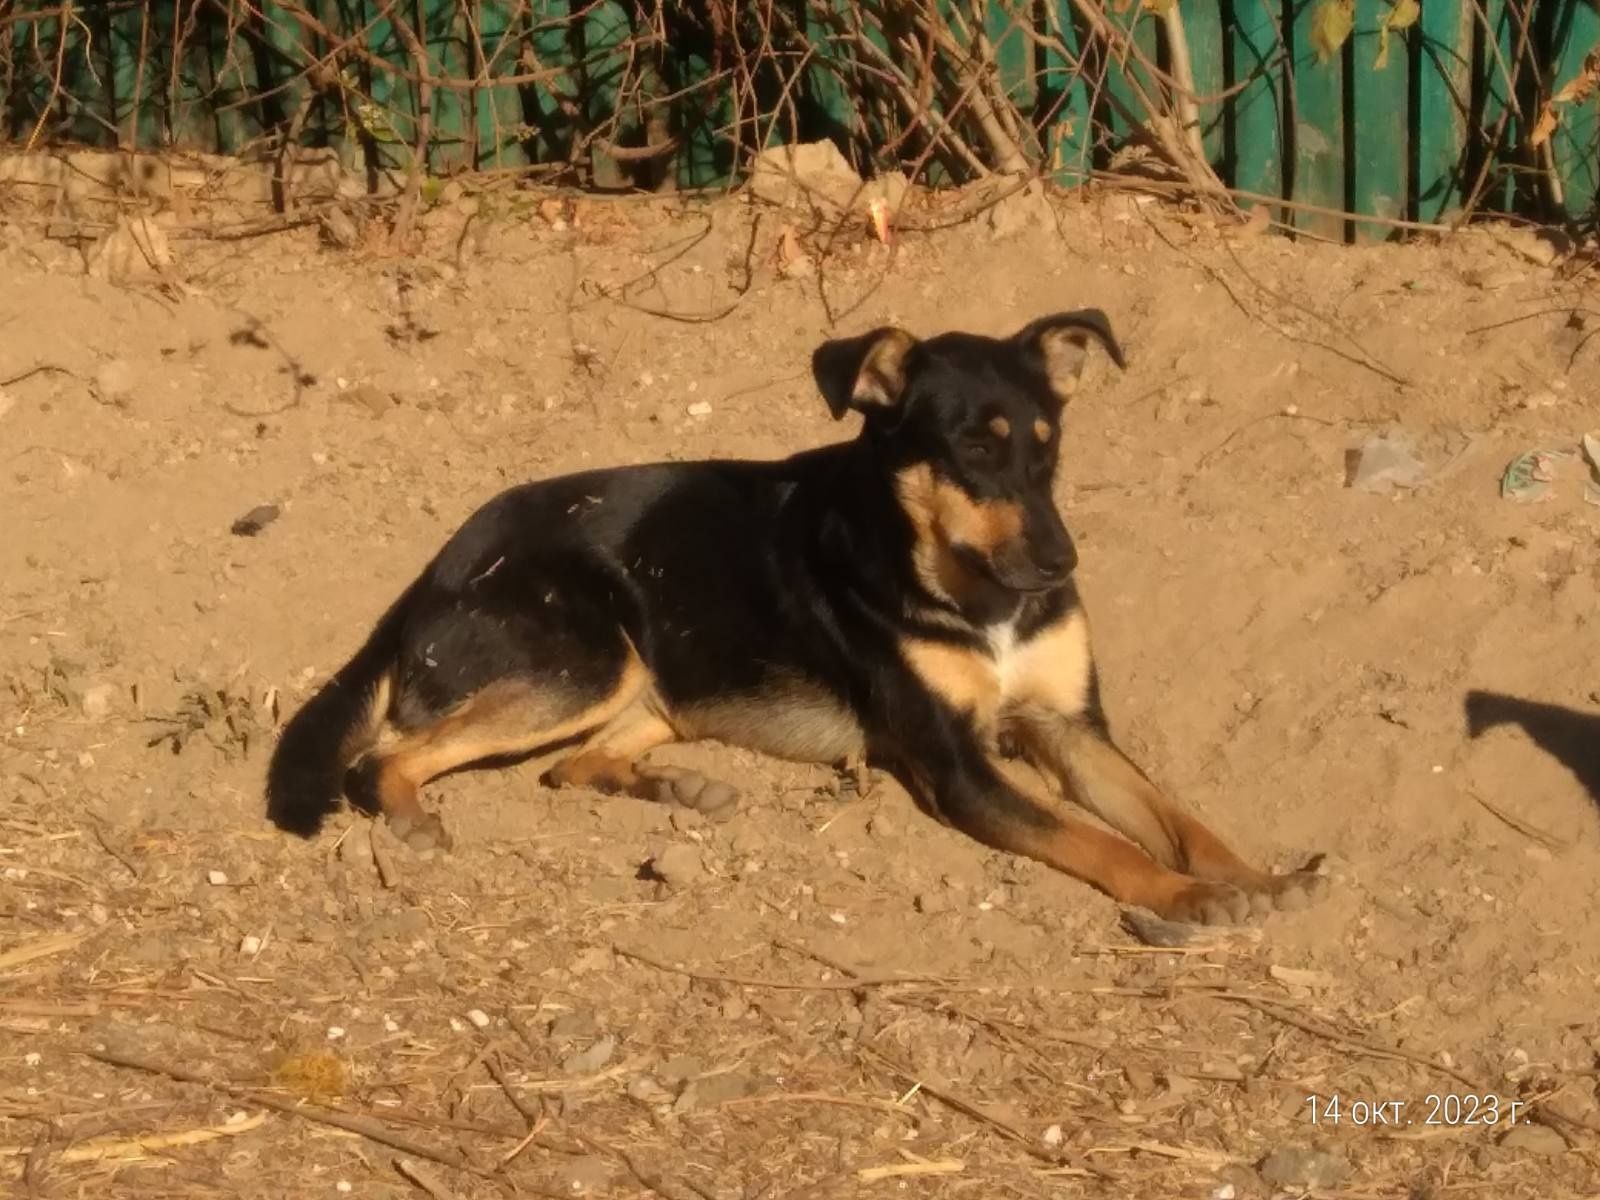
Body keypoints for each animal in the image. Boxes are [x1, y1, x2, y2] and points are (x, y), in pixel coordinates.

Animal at [268, 310, 1324, 921]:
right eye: (972, 452)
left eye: (1046, 446)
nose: (1061, 564)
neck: (968, 589)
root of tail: (430, 574)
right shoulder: (959, 768)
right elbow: (1098, 839)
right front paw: (1184, 896)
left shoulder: (1071, 727)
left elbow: (1176, 815)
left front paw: (1253, 878)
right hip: (587, 658)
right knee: (385, 757)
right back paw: (413, 818)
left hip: (661, 678)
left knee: (572, 766)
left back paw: (679, 788)